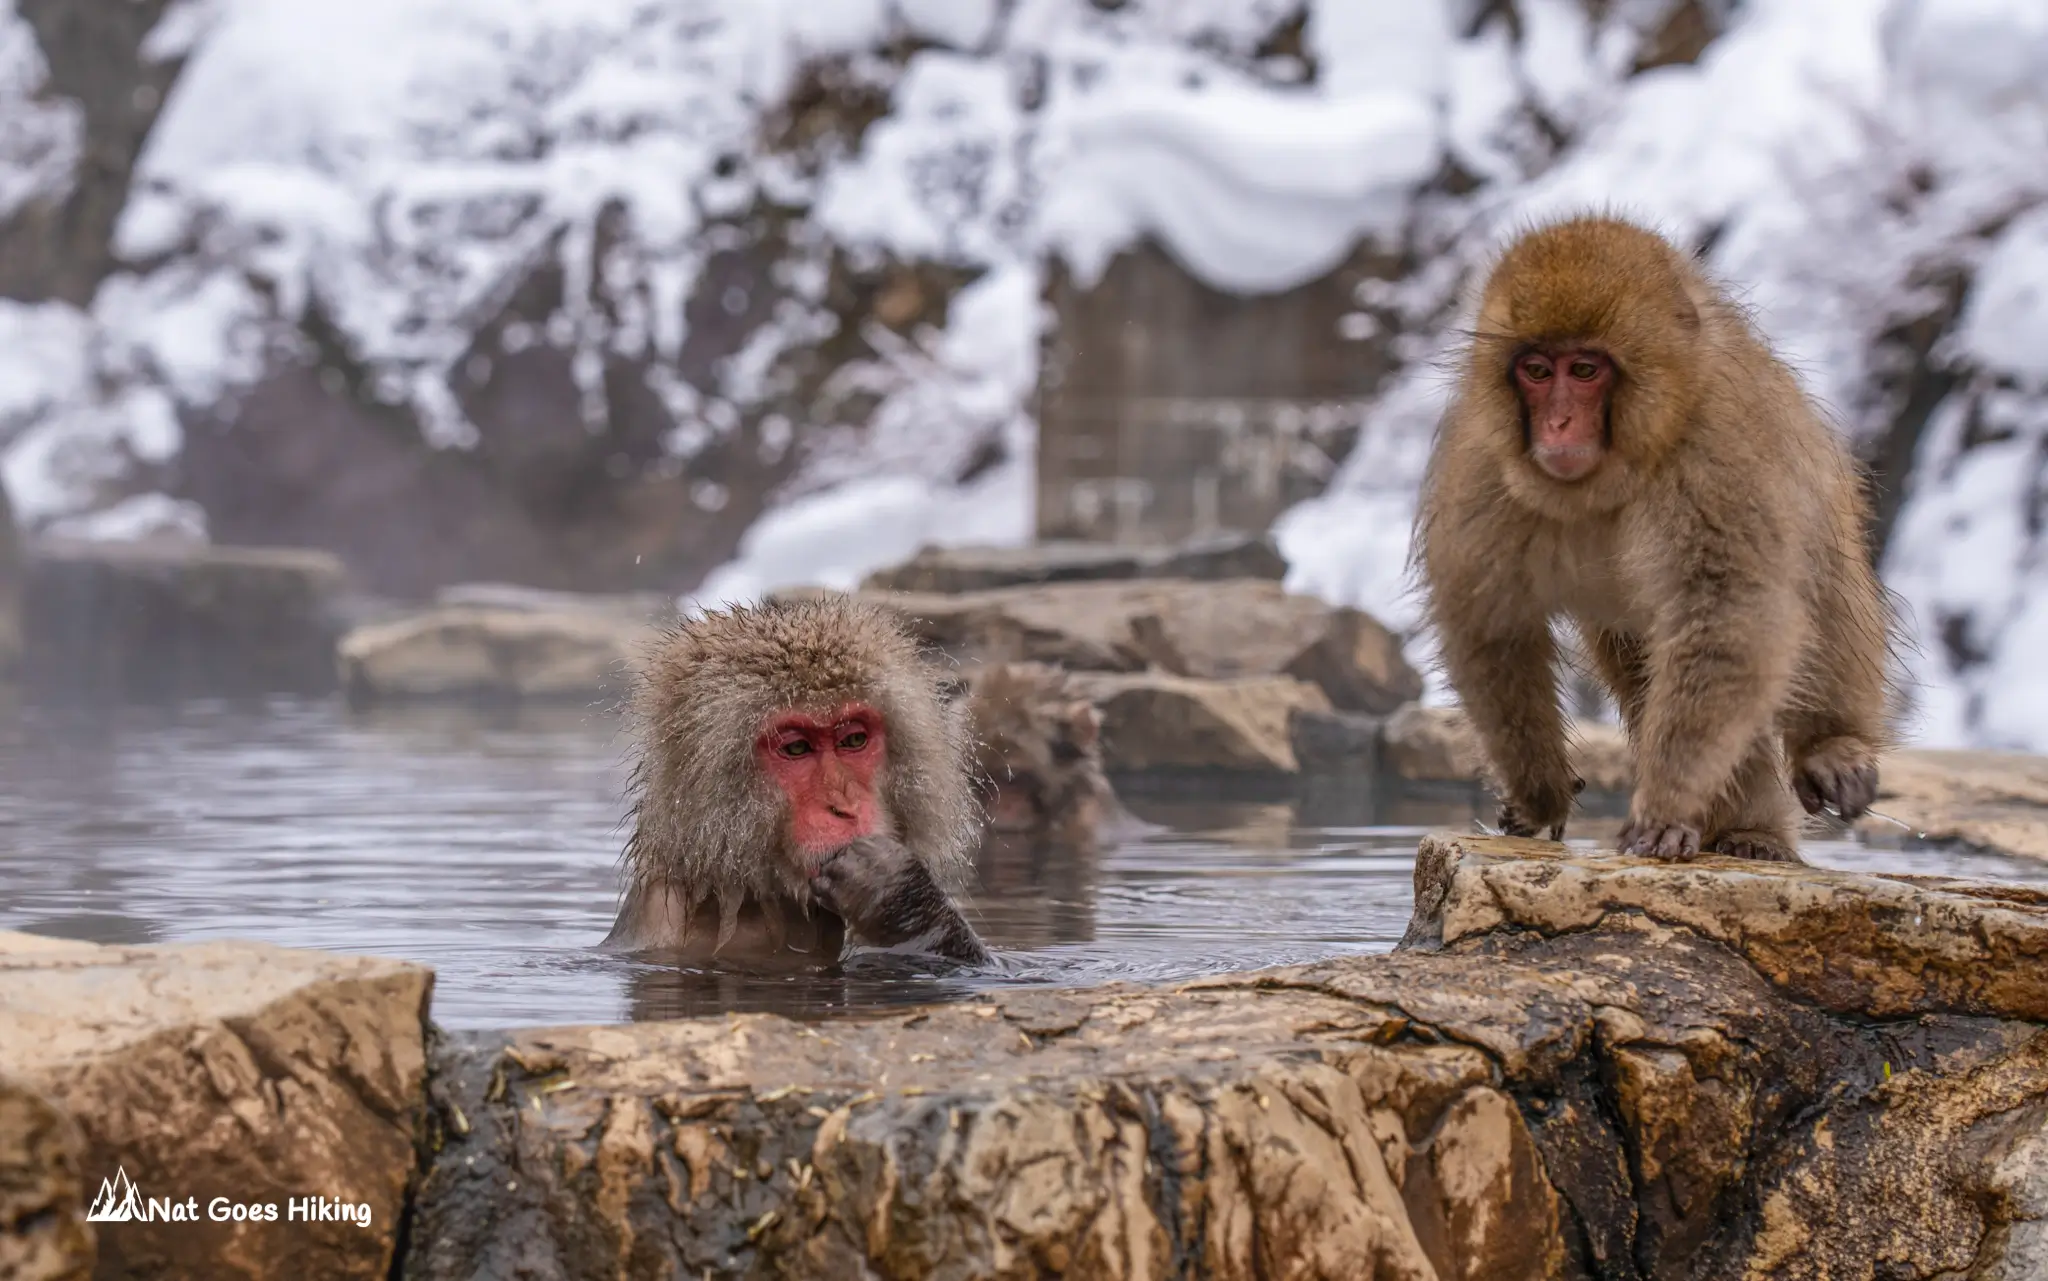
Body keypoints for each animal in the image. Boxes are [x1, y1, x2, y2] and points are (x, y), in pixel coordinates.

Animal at [1415, 213, 1894, 864]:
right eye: (1536, 371)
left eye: (1584, 370)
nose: (1558, 425)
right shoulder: (1484, 467)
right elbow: (1493, 624)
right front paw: (1540, 792)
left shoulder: (1717, 451)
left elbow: (1729, 611)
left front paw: (1666, 805)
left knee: (1820, 588)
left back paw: (1816, 767)